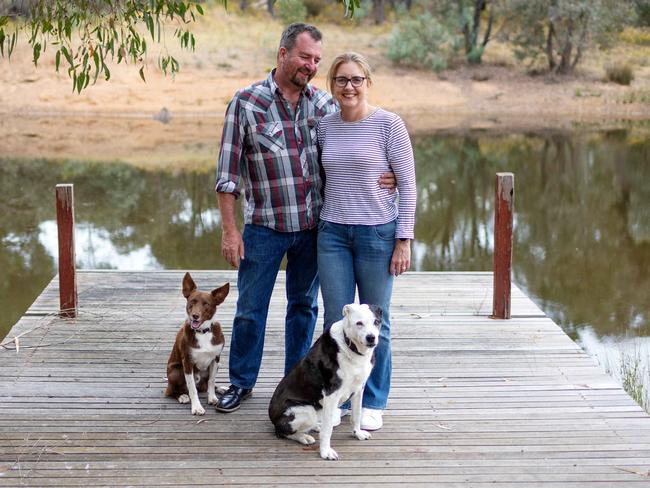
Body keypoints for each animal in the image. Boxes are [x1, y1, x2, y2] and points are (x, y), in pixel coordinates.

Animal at [165, 272, 228, 414]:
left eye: (206, 304)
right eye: (192, 302)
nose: (195, 316)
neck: (203, 332)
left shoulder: (216, 359)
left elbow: (211, 381)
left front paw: (212, 398)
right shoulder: (187, 362)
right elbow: (192, 388)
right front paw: (197, 407)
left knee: (206, 384)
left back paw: (221, 389)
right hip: (176, 371)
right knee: (170, 391)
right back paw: (182, 396)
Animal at [268, 304, 380, 460]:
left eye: (376, 322)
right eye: (359, 323)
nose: (371, 337)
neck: (351, 346)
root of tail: (272, 418)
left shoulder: (359, 389)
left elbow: (356, 415)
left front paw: (357, 433)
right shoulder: (331, 393)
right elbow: (328, 430)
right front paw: (325, 452)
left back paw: (315, 427)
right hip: (307, 411)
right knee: (283, 432)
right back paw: (304, 437)